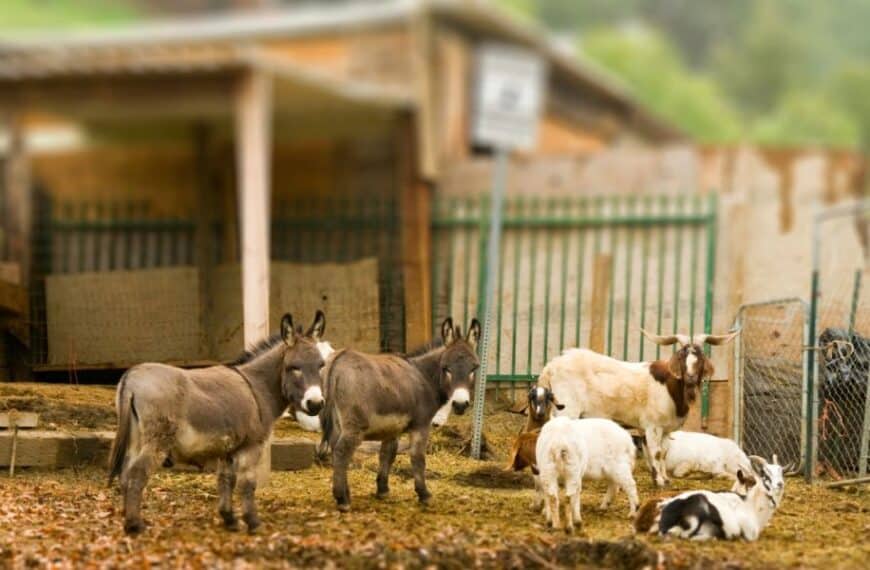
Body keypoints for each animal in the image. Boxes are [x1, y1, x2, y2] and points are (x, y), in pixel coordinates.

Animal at [540, 328, 740, 484]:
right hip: (567, 409)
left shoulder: (663, 429)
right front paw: (659, 481)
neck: (671, 387)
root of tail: (551, 366)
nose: (690, 380)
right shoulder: (653, 426)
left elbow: (662, 453)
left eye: (700, 358)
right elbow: (656, 452)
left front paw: (663, 478)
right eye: (682, 357)